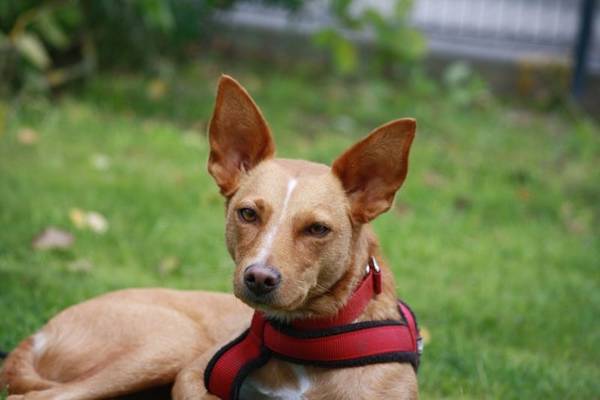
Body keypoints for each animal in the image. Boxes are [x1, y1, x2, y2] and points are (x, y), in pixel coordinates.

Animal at [1, 75, 418, 400]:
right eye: (247, 213)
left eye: (317, 229)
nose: (259, 278)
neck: (310, 343)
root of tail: (40, 333)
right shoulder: (193, 374)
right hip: (169, 342)